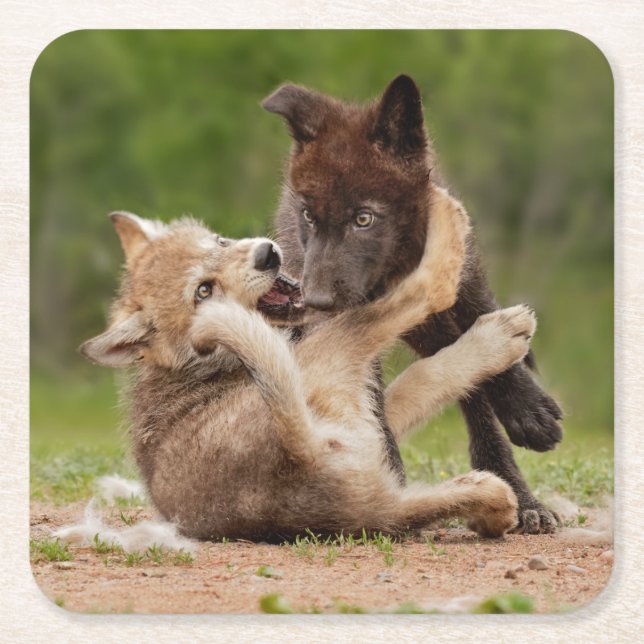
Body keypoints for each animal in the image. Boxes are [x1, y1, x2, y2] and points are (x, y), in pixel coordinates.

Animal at [80, 187, 536, 541]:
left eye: (220, 242)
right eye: (203, 291)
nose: (267, 255)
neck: (204, 365)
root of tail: (297, 456)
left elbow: (418, 385)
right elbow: (428, 364)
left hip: (381, 493)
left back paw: (493, 504)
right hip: (337, 350)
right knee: (425, 291)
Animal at [262, 74, 563, 533]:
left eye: (363, 218)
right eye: (309, 216)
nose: (313, 299)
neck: (395, 273)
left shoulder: (463, 290)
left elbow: (493, 352)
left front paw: (528, 411)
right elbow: (374, 413)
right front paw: (388, 486)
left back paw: (520, 493)